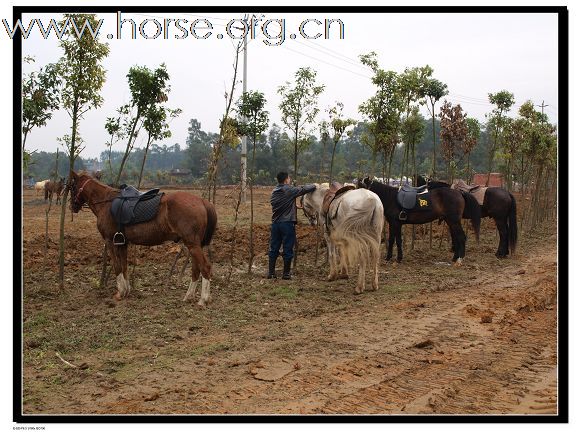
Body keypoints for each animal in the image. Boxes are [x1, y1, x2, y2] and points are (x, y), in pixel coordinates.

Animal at [68, 171, 218, 306]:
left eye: (72, 187)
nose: (72, 207)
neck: (106, 203)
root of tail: (202, 201)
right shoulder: (122, 243)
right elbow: (124, 267)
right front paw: (126, 291)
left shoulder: (110, 241)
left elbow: (117, 266)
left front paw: (120, 292)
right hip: (194, 245)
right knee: (196, 269)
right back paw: (189, 296)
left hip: (192, 244)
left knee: (205, 267)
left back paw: (203, 300)